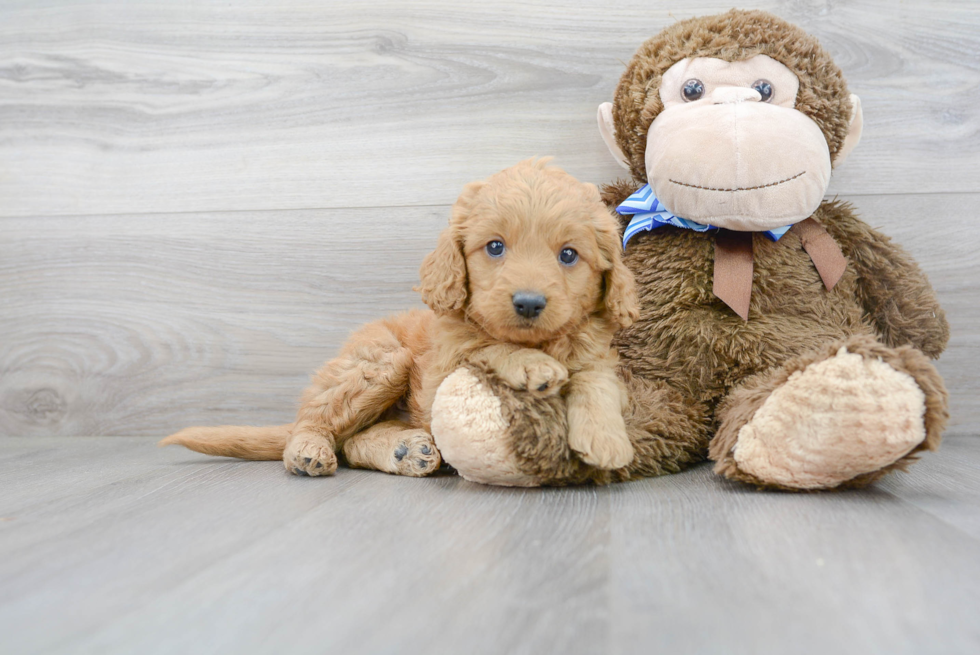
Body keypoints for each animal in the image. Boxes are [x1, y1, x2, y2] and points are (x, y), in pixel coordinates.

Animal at [165, 159, 640, 476]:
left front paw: (606, 438)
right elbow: (487, 344)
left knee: (354, 442)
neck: (541, 340)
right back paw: (308, 450)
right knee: (318, 423)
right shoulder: (443, 367)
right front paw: (531, 365)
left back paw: (406, 451)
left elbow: (595, 383)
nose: (528, 303)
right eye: (495, 247)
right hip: (380, 363)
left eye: (568, 255)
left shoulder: (599, 358)